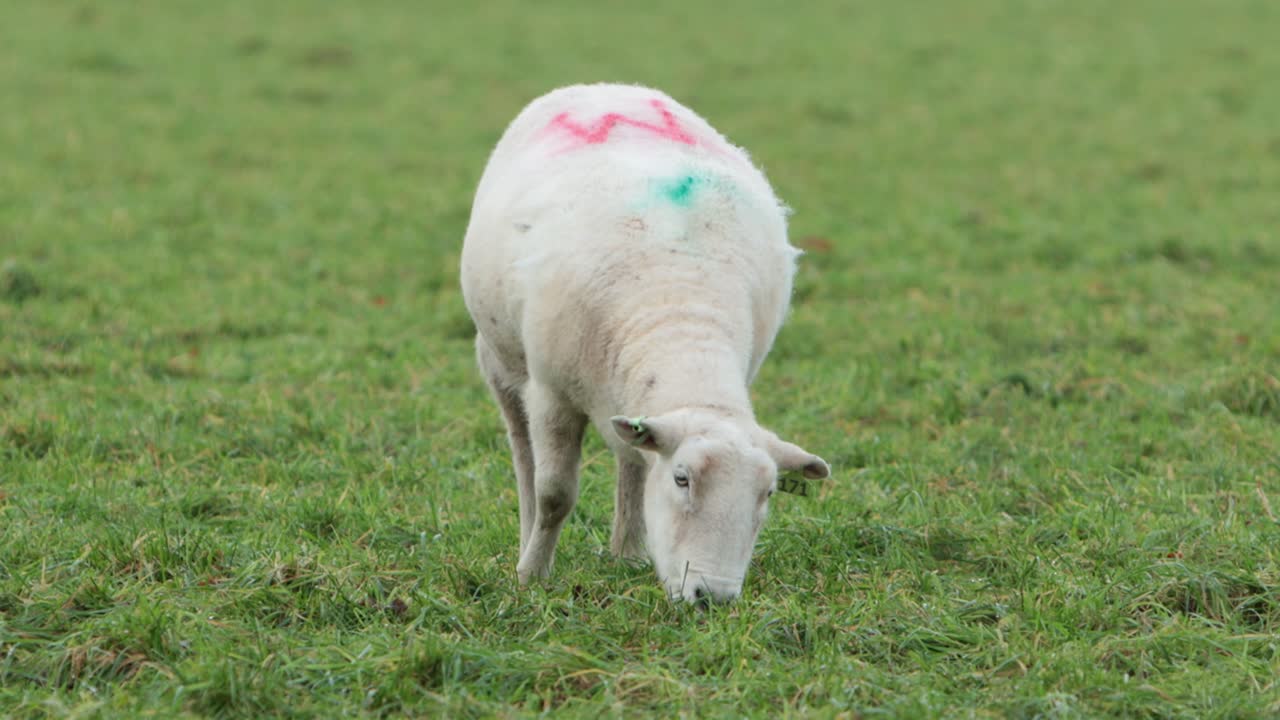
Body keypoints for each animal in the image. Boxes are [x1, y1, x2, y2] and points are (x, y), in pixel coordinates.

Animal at [460, 83, 829, 603]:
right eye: (682, 479)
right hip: (499, 357)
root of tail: (605, 87)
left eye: (769, 493)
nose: (712, 598)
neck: (681, 314)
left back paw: (627, 553)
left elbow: (633, 461)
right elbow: (555, 494)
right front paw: (532, 576)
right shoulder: (552, 394)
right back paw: (528, 535)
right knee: (522, 454)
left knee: (630, 460)